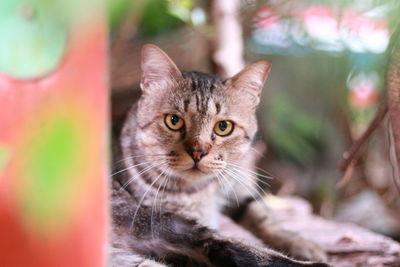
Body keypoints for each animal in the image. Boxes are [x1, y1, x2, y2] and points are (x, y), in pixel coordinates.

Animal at [110, 45, 328, 266]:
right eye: (173, 121)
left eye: (223, 127)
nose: (198, 151)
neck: (201, 190)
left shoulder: (236, 186)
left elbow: (261, 214)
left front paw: (299, 242)